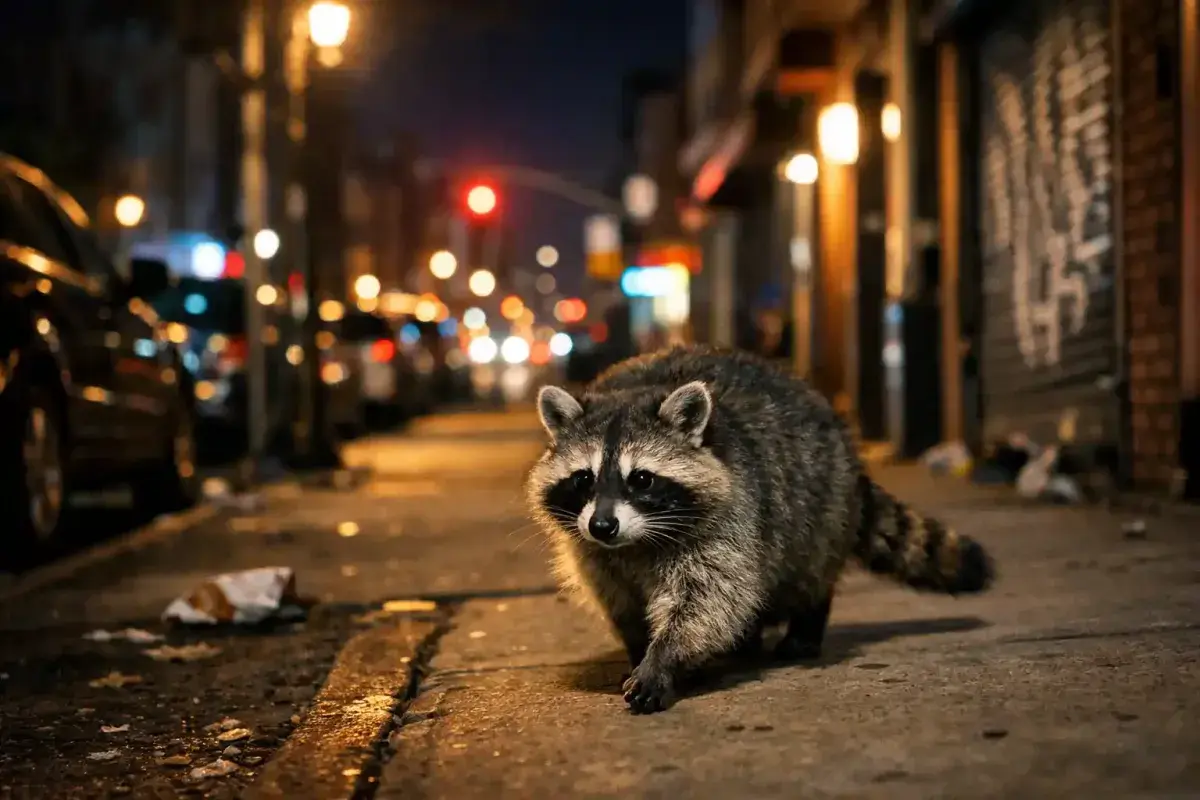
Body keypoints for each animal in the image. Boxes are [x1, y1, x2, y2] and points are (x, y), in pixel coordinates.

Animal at [525, 346, 995, 714]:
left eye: (641, 479)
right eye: (583, 479)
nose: (603, 525)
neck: (635, 542)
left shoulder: (730, 519)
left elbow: (710, 598)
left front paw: (665, 658)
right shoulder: (592, 552)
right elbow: (619, 601)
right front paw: (640, 647)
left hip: (821, 502)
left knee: (805, 569)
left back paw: (806, 624)